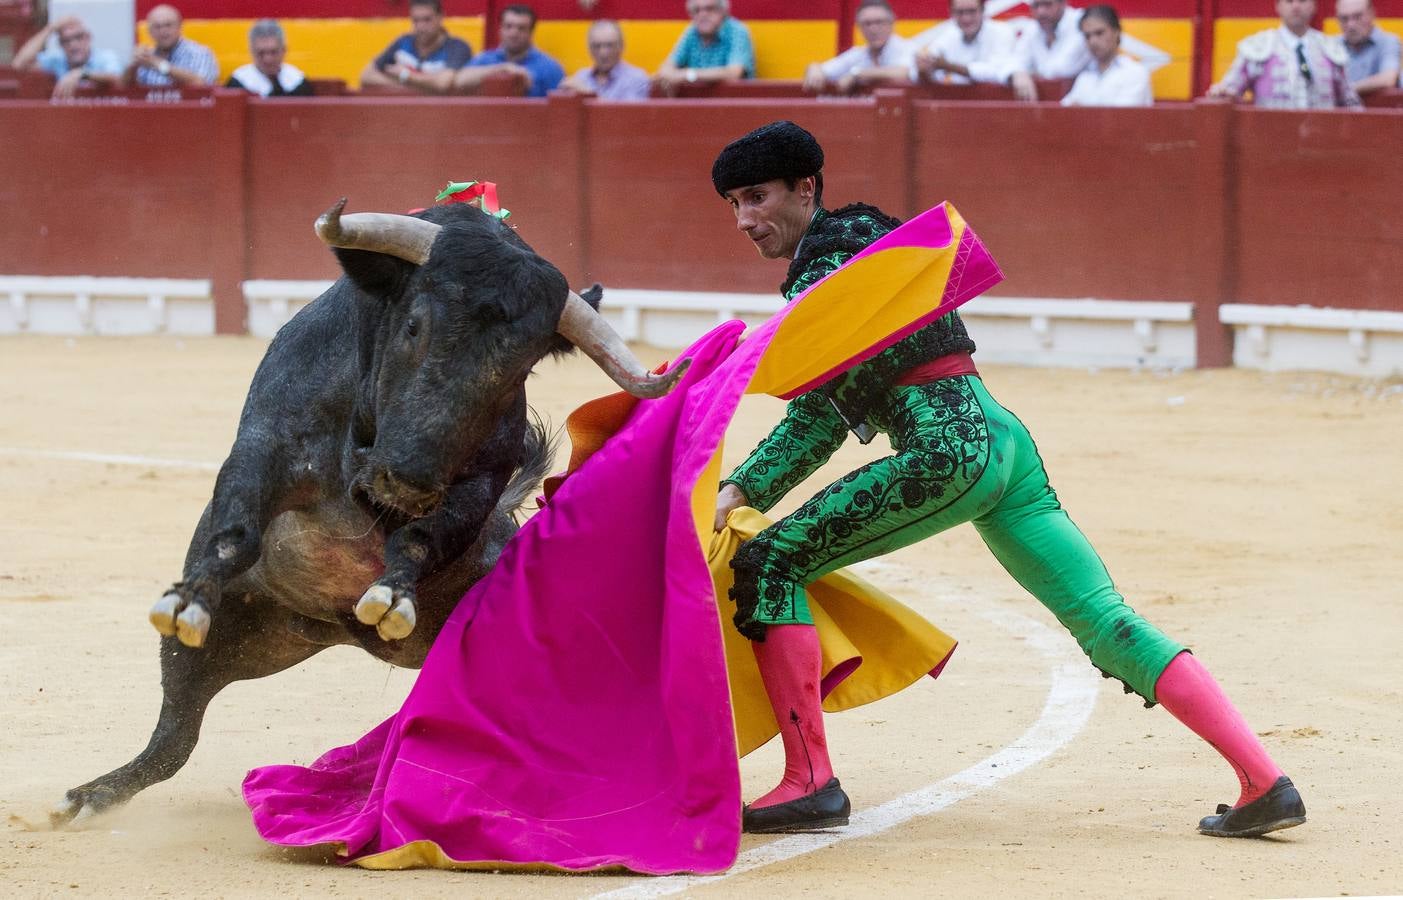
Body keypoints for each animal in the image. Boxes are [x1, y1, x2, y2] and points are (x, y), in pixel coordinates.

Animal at [51, 202, 687, 819]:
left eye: (519, 369)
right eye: (413, 325)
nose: (406, 478)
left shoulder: (477, 486)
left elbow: (421, 538)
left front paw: (391, 595)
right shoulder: (265, 444)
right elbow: (237, 527)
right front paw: (188, 599)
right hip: (243, 639)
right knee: (174, 736)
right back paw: (90, 797)